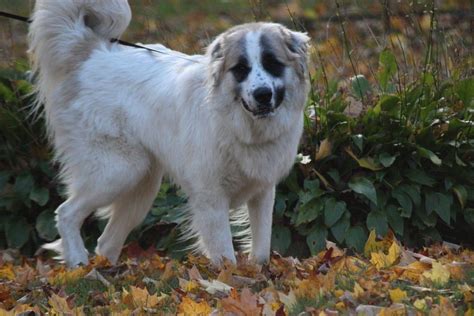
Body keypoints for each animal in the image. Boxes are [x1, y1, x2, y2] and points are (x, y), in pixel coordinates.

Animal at [29, 0, 312, 266]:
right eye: (240, 69)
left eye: (273, 64)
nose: (262, 95)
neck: (237, 123)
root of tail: (92, 52)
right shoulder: (211, 198)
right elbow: (225, 255)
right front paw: (230, 279)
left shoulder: (262, 193)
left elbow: (261, 249)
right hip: (118, 170)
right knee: (66, 213)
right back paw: (78, 262)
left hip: (141, 187)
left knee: (105, 241)